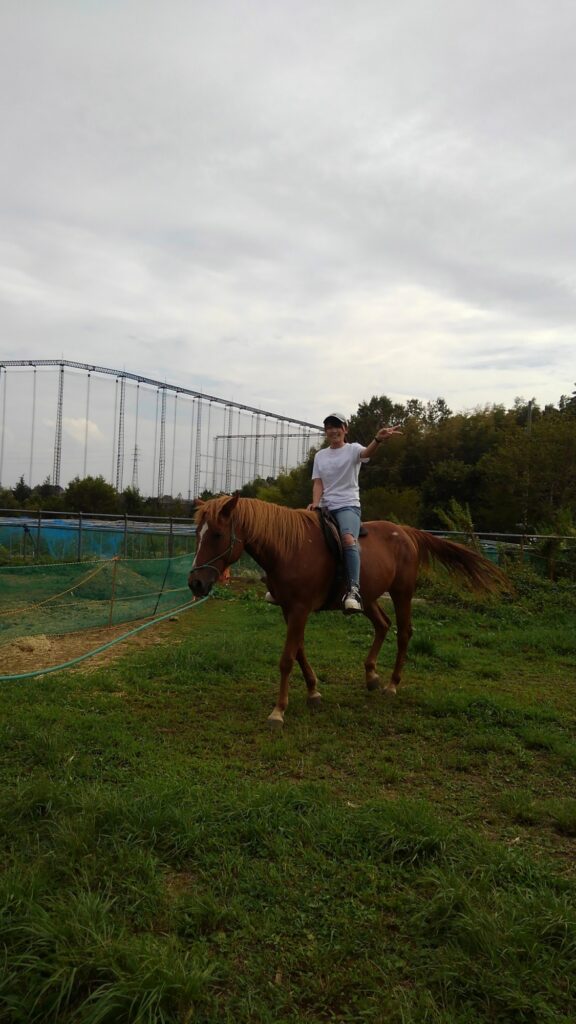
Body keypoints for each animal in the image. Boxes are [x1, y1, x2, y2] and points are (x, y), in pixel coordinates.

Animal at [188, 494, 507, 729]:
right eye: (197, 534)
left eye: (217, 534)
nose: (195, 583)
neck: (289, 548)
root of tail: (406, 532)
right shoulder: (289, 609)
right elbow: (299, 651)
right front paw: (313, 692)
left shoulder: (300, 609)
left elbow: (287, 659)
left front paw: (278, 711)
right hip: (369, 597)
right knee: (383, 624)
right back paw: (372, 676)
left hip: (403, 593)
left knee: (404, 632)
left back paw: (392, 685)